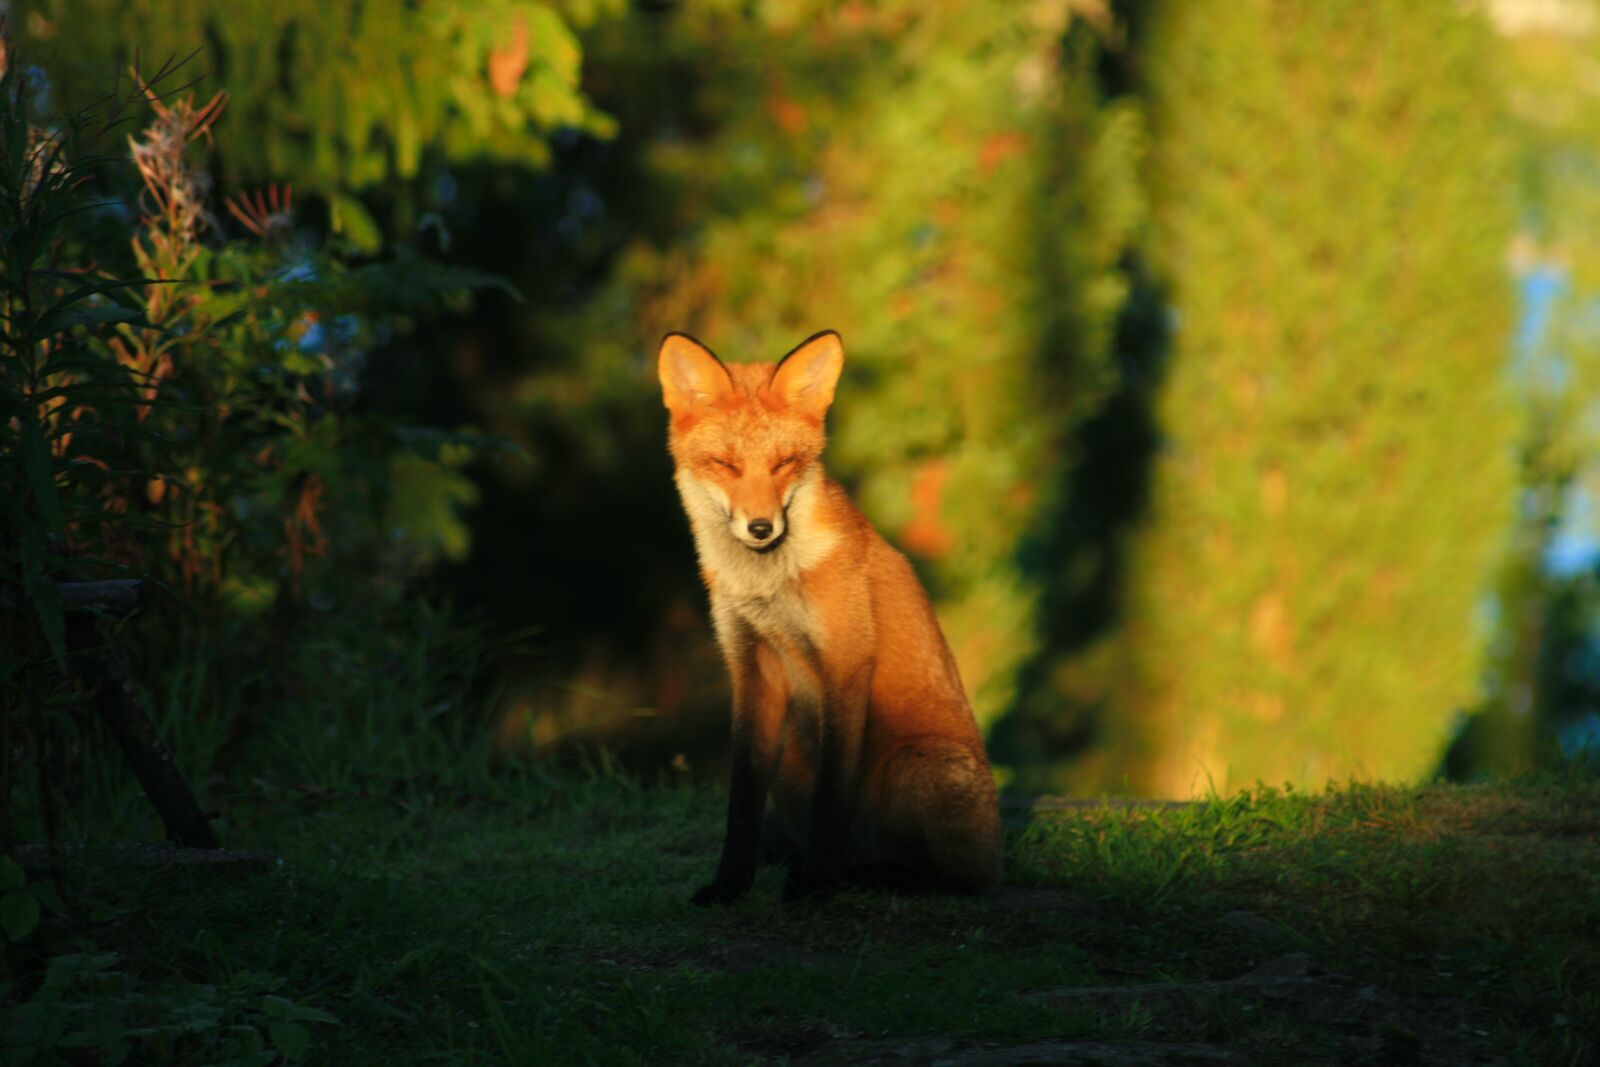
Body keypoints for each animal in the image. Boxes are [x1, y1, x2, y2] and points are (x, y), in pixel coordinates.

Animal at [658, 329, 1003, 904]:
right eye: (726, 464)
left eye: (784, 463)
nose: (760, 527)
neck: (767, 589)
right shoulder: (752, 667)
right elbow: (741, 805)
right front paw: (730, 886)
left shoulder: (845, 662)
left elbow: (831, 797)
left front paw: (814, 886)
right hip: (791, 769)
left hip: (913, 767)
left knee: (962, 880)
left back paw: (867, 877)